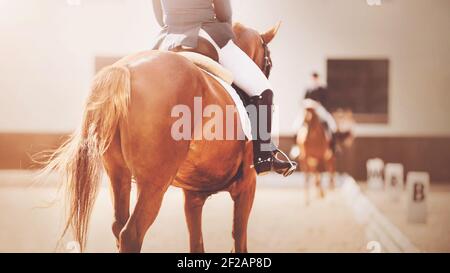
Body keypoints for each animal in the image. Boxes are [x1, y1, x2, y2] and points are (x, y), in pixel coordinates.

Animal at [43, 22, 282, 253]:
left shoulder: (193, 196)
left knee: (118, 226)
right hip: (154, 183)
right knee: (131, 233)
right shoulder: (247, 184)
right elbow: (239, 241)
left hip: (118, 175)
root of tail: (125, 69)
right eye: (269, 63)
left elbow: (197, 244)